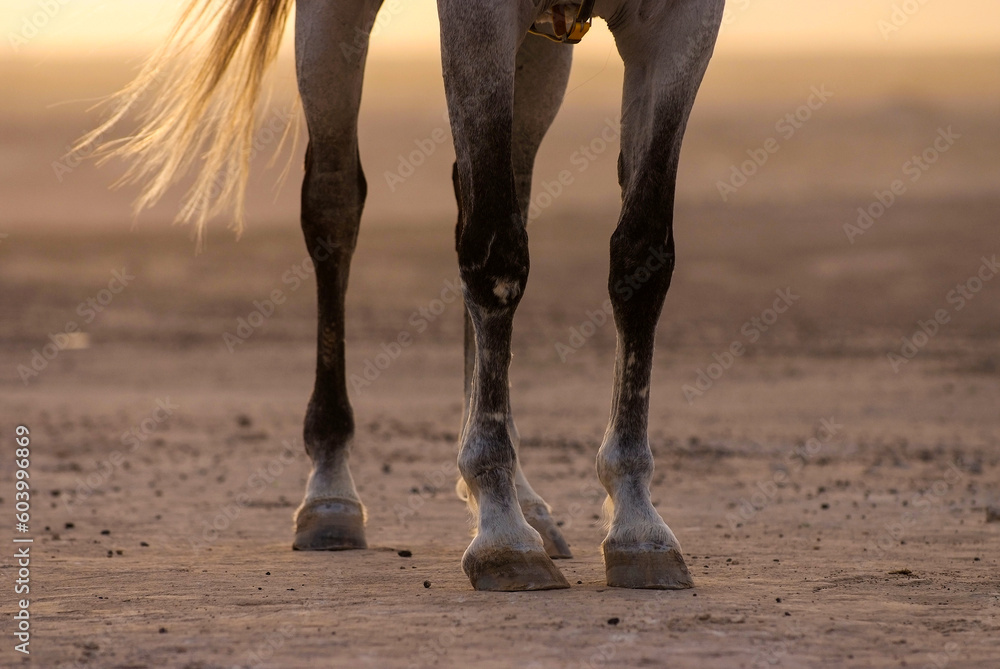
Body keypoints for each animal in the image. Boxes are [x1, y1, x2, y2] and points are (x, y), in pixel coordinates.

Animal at [81, 0, 724, 591]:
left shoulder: (684, 20)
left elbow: (642, 257)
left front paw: (637, 524)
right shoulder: (476, 16)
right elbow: (496, 253)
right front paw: (501, 531)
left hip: (543, 50)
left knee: (498, 189)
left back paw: (526, 502)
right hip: (336, 25)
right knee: (335, 203)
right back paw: (332, 493)